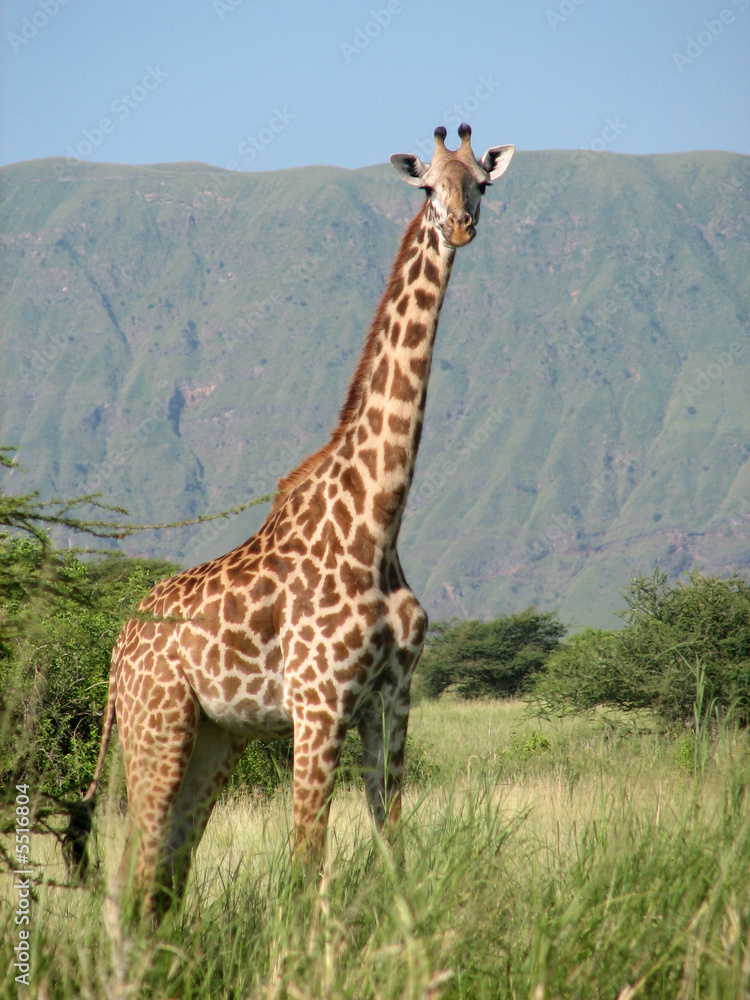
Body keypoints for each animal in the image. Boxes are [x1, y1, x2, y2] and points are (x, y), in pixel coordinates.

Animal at [66, 124, 515, 917]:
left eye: (481, 183)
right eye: (429, 184)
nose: (461, 225)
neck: (379, 522)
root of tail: (119, 646)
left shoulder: (392, 699)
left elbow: (393, 845)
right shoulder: (318, 701)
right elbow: (309, 859)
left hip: (216, 737)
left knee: (167, 869)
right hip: (155, 725)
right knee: (132, 865)